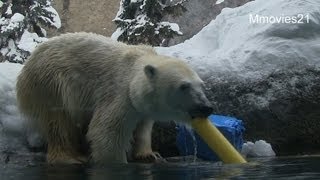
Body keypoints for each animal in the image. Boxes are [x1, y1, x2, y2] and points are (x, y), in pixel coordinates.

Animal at [16, 32, 214, 165]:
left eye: (202, 85)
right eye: (184, 86)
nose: (206, 107)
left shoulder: (142, 107)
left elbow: (143, 127)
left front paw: (150, 154)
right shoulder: (119, 94)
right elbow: (106, 132)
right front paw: (117, 162)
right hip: (50, 83)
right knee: (59, 120)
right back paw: (69, 157)